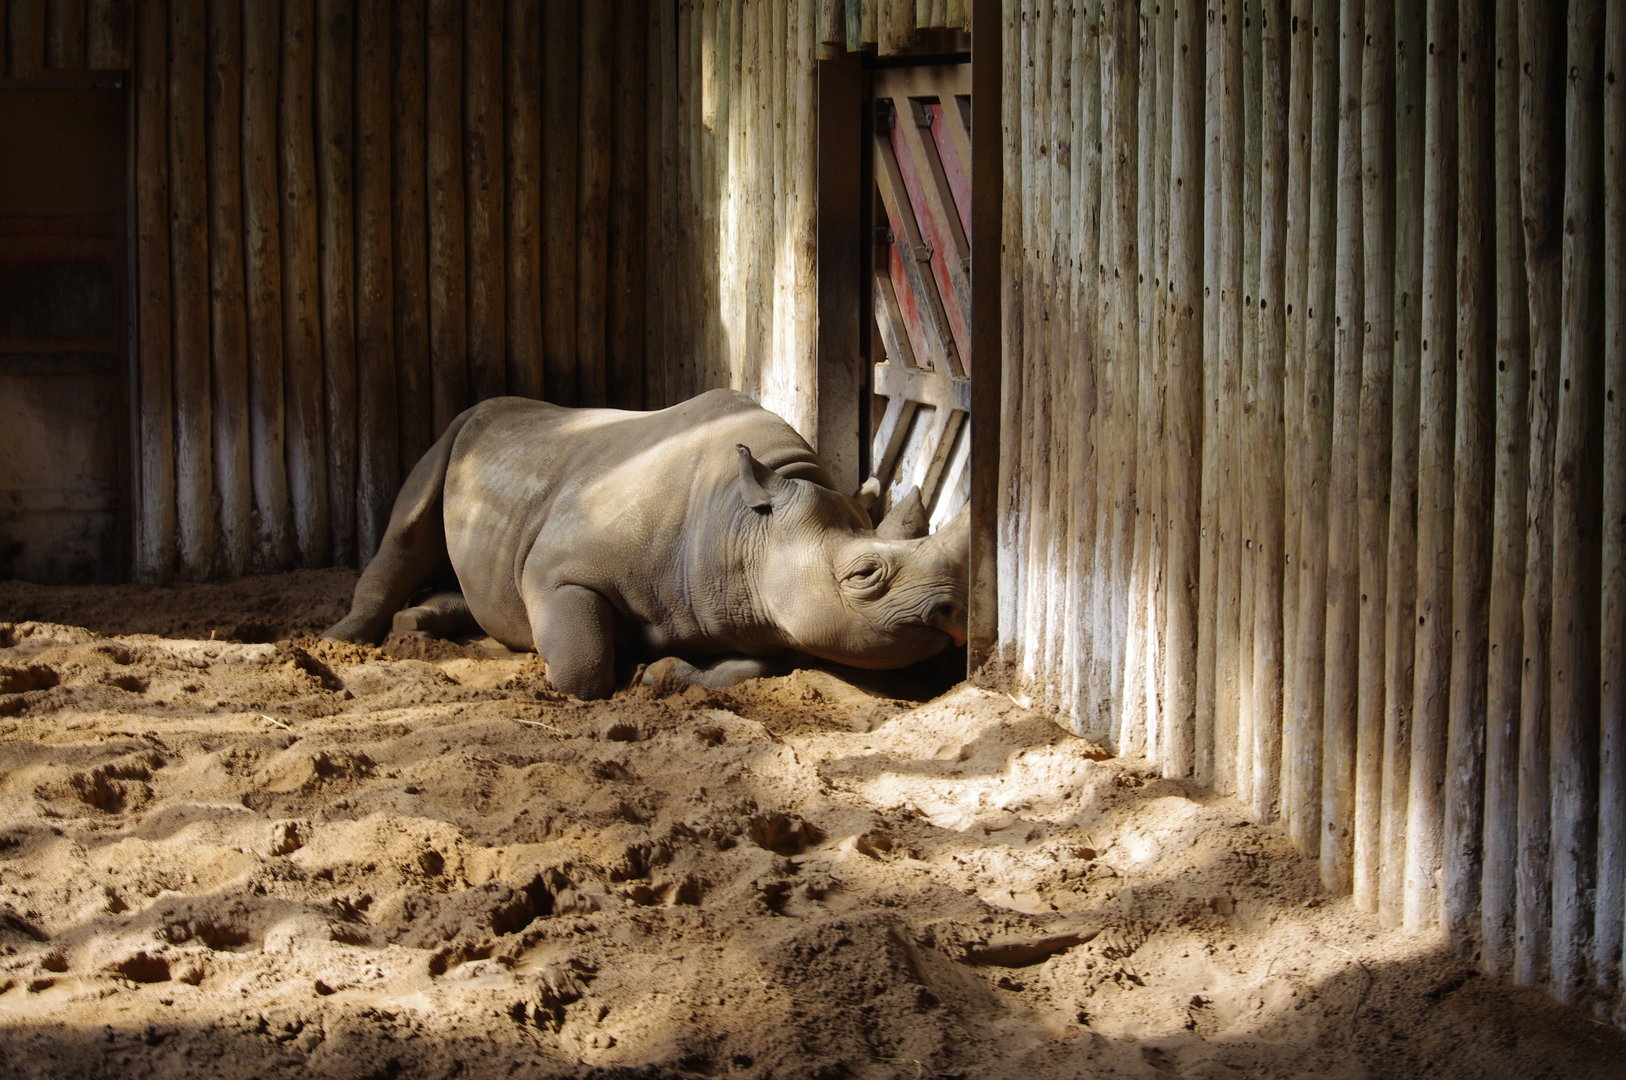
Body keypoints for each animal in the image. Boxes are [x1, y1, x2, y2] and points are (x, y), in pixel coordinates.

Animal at [324, 389, 968, 699]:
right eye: (863, 575)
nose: (953, 612)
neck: (745, 528)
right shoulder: (560, 572)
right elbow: (583, 668)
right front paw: (599, 670)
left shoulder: (765, 609)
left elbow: (756, 667)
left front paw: (659, 677)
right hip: (457, 430)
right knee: (407, 530)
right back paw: (342, 640)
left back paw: (422, 625)